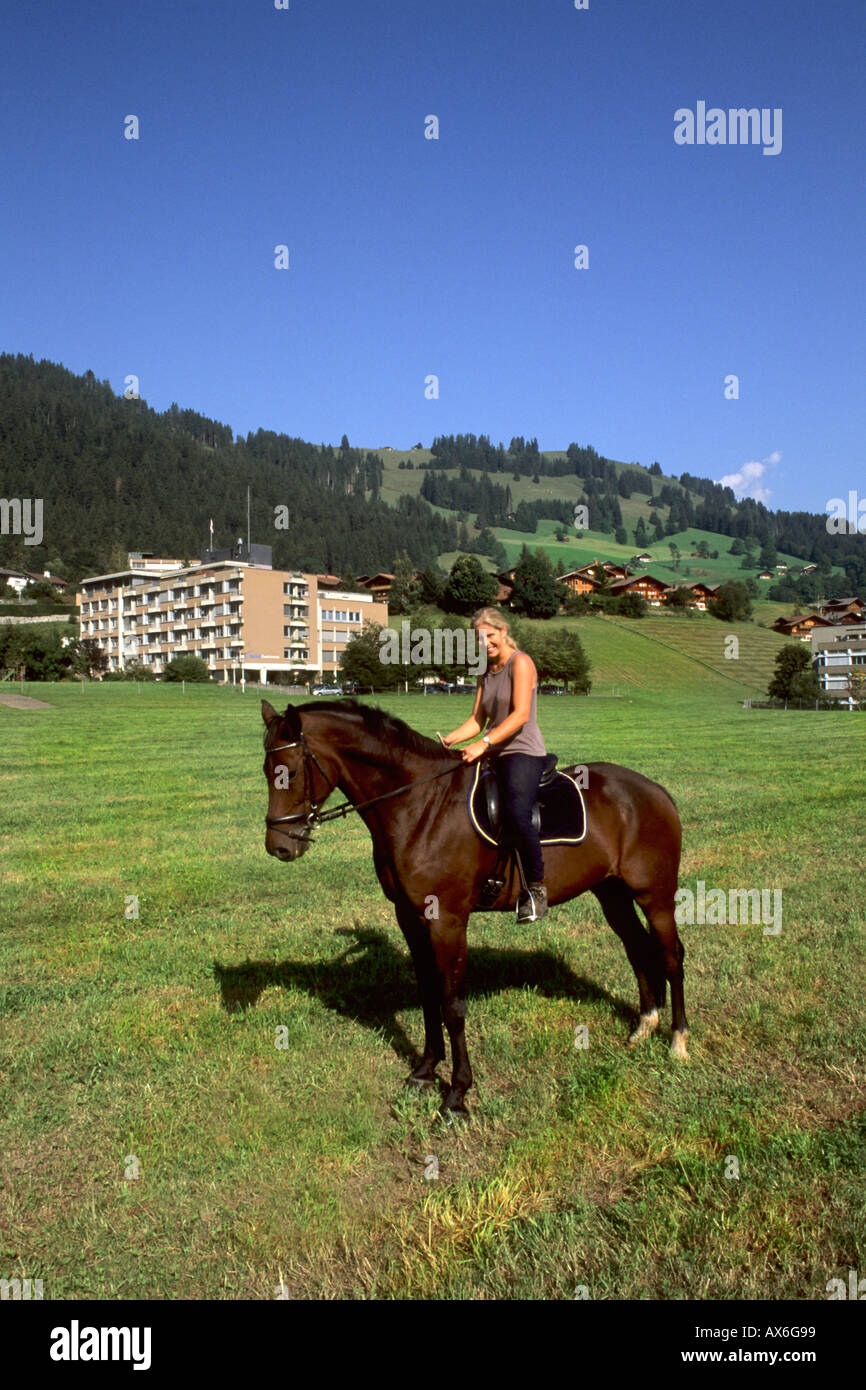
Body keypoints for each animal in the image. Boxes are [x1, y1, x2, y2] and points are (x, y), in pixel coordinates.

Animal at [261, 697, 688, 1115]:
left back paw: (678, 1041)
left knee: (671, 956)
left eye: (290, 773)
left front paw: (457, 1094)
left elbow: (453, 1006)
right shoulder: (410, 917)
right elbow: (428, 995)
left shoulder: (447, 921)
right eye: (266, 771)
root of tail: (654, 791)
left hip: (655, 897)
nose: (279, 847)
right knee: (636, 949)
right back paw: (643, 1026)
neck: (421, 804)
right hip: (612, 893)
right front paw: (424, 1071)